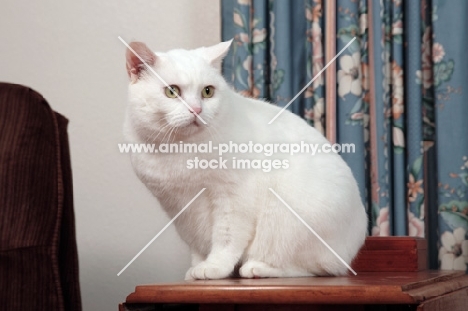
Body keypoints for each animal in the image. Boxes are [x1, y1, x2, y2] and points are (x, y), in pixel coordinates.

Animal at [124, 39, 370, 280]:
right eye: (172, 91)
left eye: (207, 92)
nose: (196, 110)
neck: (179, 149)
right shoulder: (181, 210)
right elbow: (197, 244)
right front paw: (196, 269)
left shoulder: (233, 198)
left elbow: (226, 238)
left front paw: (214, 267)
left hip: (289, 221)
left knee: (314, 269)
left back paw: (258, 269)